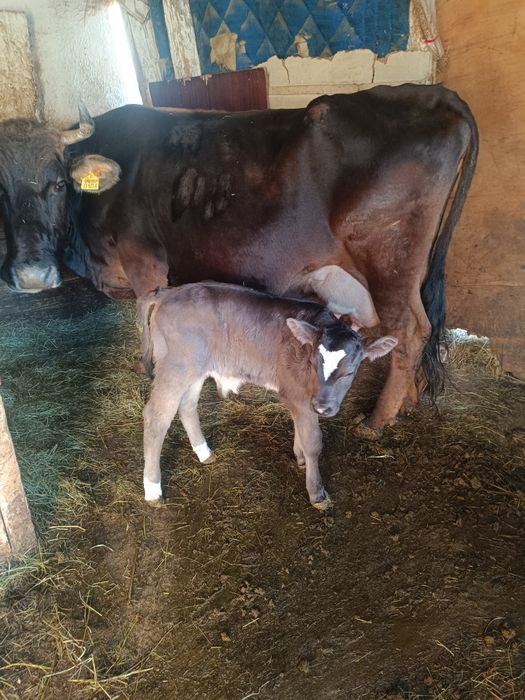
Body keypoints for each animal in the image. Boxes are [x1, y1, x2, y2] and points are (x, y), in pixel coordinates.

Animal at [0, 84, 478, 432]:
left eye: (59, 183)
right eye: (0, 190)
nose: (32, 275)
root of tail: (433, 93)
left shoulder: (145, 264)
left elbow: (144, 315)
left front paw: (148, 367)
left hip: (390, 261)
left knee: (410, 329)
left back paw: (378, 419)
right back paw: (406, 402)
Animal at [138, 282, 397, 509]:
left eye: (350, 371)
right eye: (313, 363)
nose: (323, 407)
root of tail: (168, 292)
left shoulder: (299, 399)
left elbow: (299, 429)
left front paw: (299, 457)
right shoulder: (300, 397)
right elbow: (313, 442)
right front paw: (317, 492)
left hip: (195, 369)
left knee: (187, 406)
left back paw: (204, 452)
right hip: (175, 367)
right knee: (156, 418)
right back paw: (152, 489)